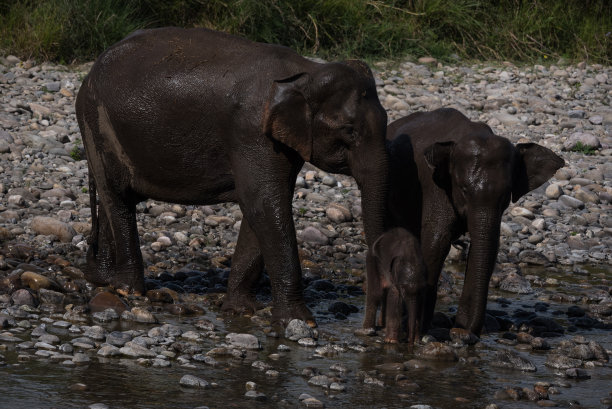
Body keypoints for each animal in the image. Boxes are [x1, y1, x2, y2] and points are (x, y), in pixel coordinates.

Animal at [76, 27, 388, 326]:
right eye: (350, 131)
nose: (373, 326)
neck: (306, 71)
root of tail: (91, 70)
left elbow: (262, 207)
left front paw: (240, 310)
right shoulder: (251, 133)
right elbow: (264, 204)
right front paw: (301, 322)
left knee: (112, 197)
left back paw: (101, 280)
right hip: (97, 120)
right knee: (117, 196)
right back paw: (128, 290)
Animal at [388, 107, 564, 334]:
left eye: (506, 194)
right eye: (463, 189)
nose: (464, 328)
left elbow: (488, 246)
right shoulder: (435, 186)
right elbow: (437, 241)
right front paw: (417, 327)